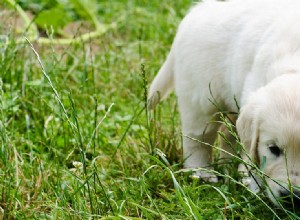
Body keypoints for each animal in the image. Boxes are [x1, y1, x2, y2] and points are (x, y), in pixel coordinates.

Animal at [149, 0, 300, 208]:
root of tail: (197, 12)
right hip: (201, 99)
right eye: (274, 149)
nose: (292, 197)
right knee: (197, 139)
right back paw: (201, 174)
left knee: (229, 134)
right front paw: (256, 190)